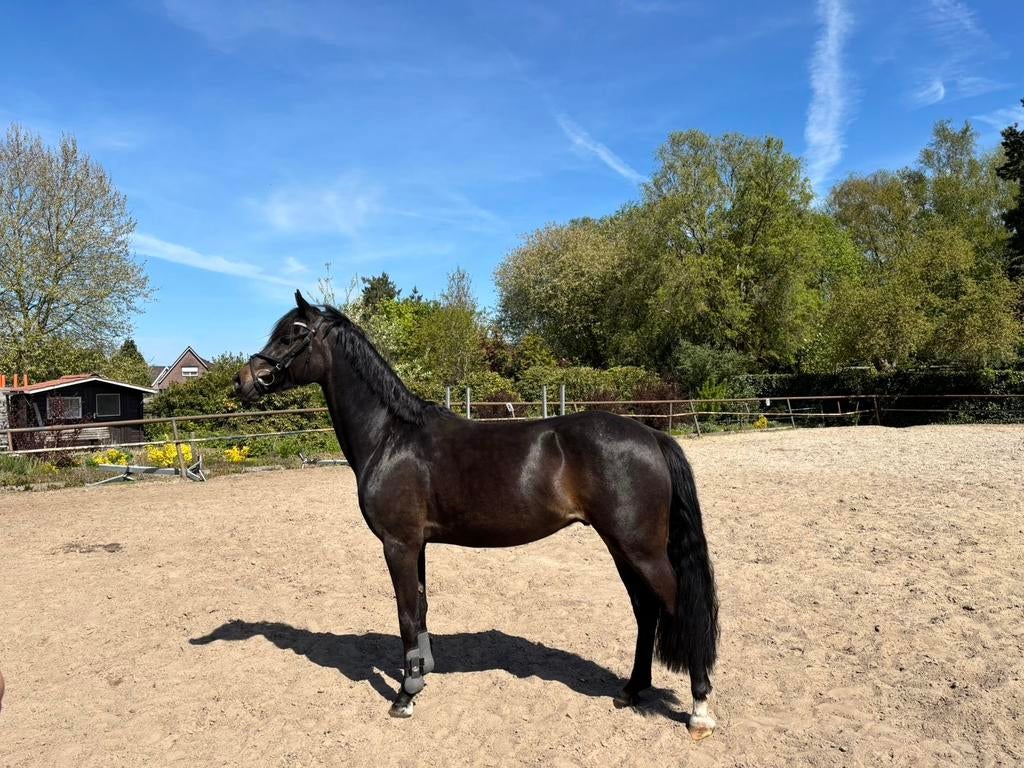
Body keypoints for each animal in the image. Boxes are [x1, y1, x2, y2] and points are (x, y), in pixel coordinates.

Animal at [234, 291, 720, 740]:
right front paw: (421, 675)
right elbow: (421, 608)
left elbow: (406, 615)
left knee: (679, 608)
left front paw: (405, 696)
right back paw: (632, 690)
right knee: (645, 610)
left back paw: (699, 709)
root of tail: (653, 436)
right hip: (622, 547)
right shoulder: (417, 544)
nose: (244, 381)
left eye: (293, 334)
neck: (391, 437)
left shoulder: (398, 544)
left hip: (641, 549)